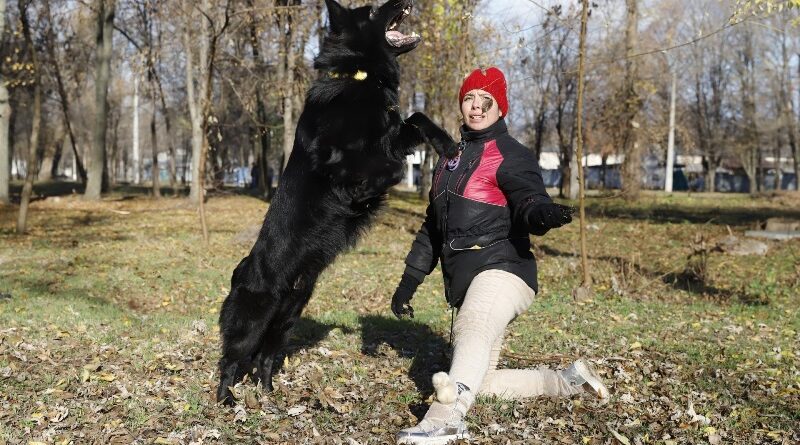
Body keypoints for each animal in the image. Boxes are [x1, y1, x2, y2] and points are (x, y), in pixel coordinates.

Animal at [217, 0, 456, 404]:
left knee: (264, 358)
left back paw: (269, 395)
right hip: (255, 319)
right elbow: (389, 169)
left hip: (288, 316)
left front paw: (449, 144)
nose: (406, 1)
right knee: (230, 361)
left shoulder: (392, 135)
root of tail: (240, 271)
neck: (358, 77)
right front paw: (369, 195)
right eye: (373, 10)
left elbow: (417, 117)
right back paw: (227, 400)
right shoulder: (340, 161)